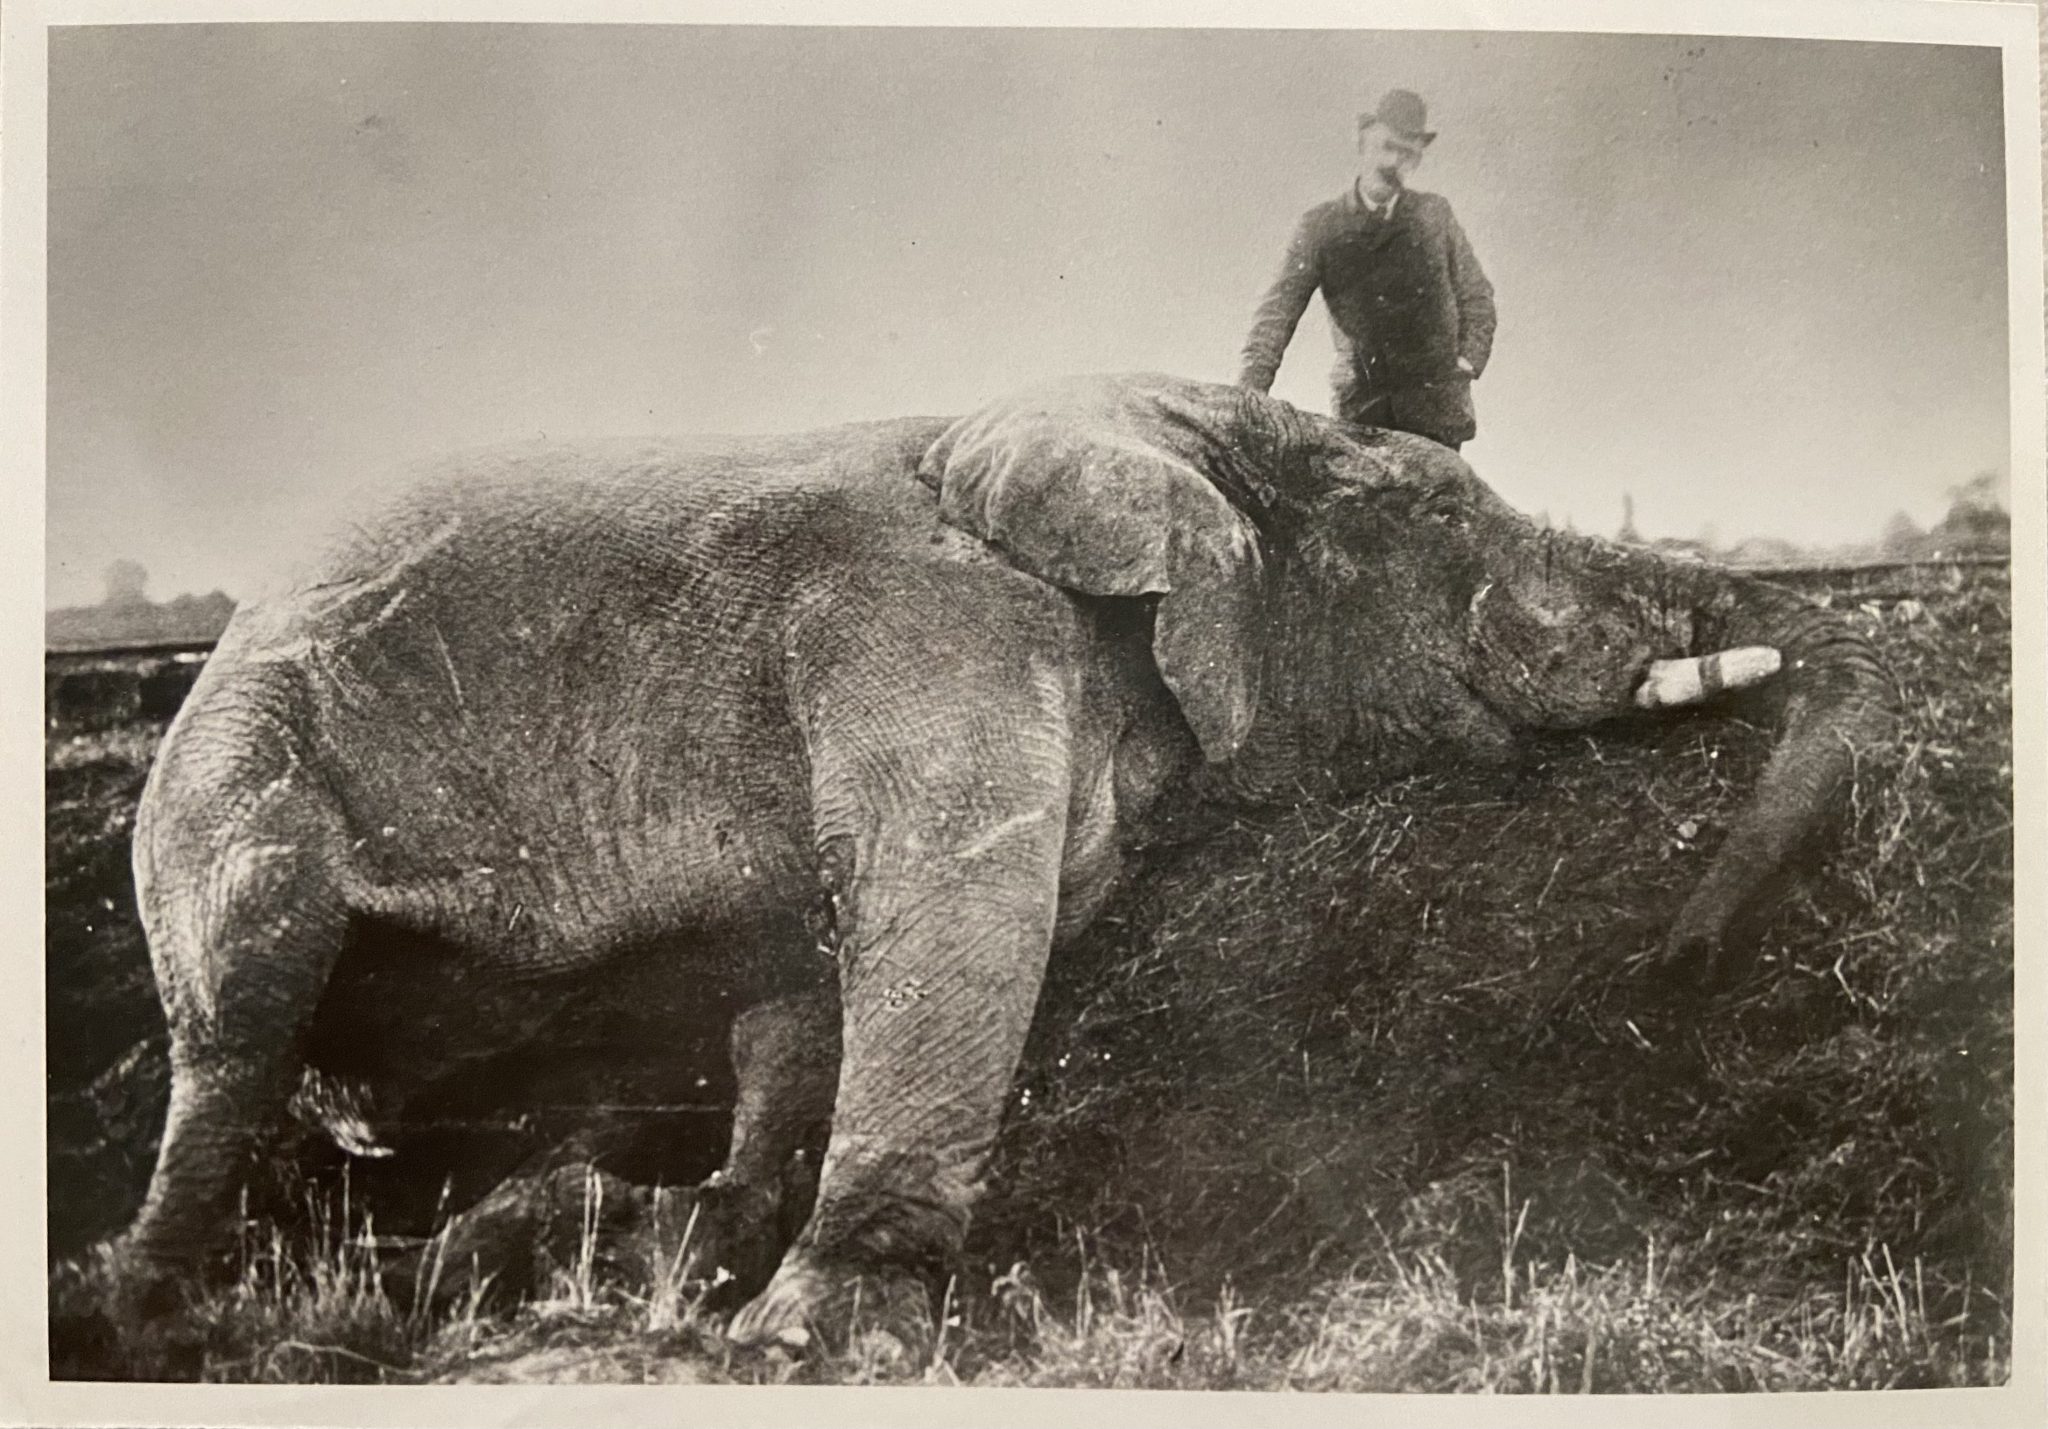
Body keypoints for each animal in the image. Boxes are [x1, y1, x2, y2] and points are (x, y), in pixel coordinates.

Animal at [109, 371, 1896, 1348]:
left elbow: (831, 974)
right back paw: (149, 1302)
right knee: (242, 1008)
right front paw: (812, 1339)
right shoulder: (933, 632)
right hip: (232, 773)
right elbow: (950, 911)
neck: (1129, 422)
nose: (1676, 955)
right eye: (1447, 522)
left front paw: (726, 1284)